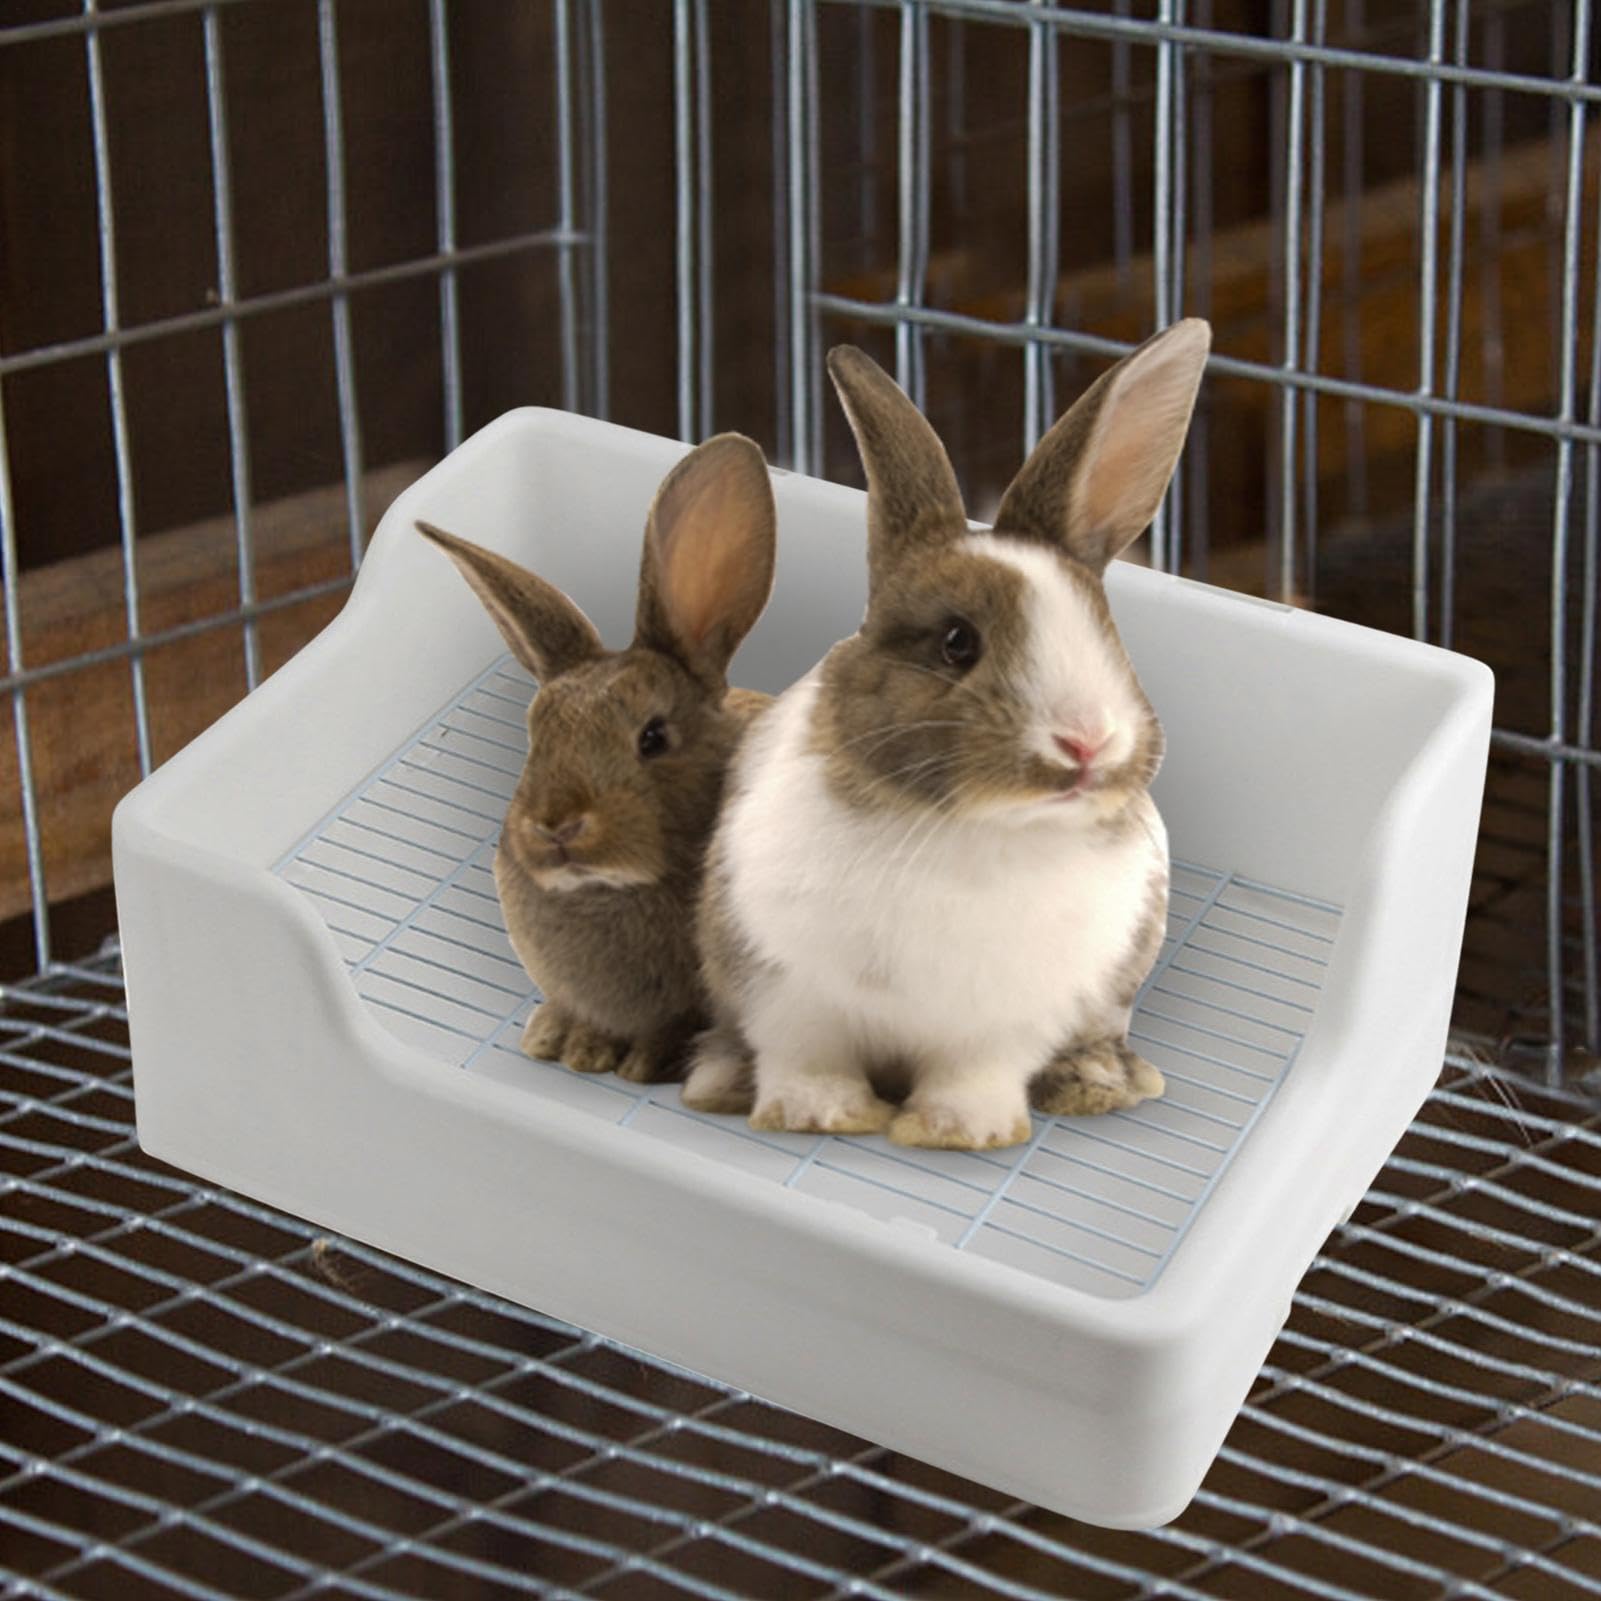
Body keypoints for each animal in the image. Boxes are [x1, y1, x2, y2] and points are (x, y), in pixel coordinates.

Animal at [682, 322, 1210, 1149]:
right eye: (957, 643)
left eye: (1107, 633)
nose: (1086, 744)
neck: (970, 829)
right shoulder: (785, 990)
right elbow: (807, 1059)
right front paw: (817, 1116)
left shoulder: (1004, 1022)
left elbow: (974, 1075)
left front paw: (963, 1133)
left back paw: (1099, 1083)